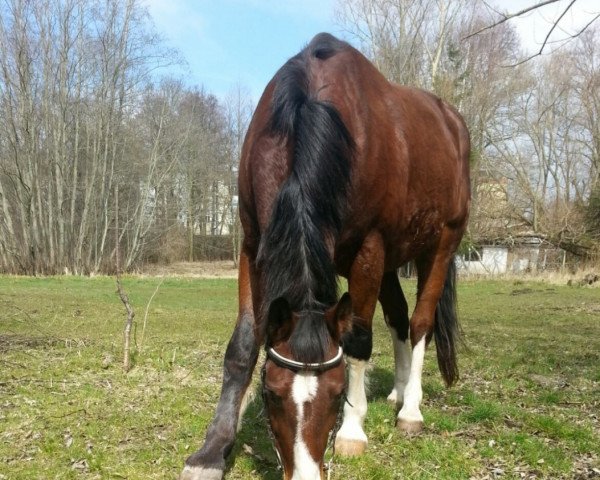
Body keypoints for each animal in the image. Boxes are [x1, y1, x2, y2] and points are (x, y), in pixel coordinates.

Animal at [180, 33, 472, 480]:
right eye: (270, 393)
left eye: (336, 395)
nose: (305, 474)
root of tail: (452, 122)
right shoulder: (253, 244)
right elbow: (242, 345)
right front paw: (212, 450)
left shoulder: (370, 249)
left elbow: (357, 341)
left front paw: (352, 431)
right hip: (393, 260)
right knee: (399, 317)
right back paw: (396, 392)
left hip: (440, 246)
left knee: (420, 322)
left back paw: (410, 408)